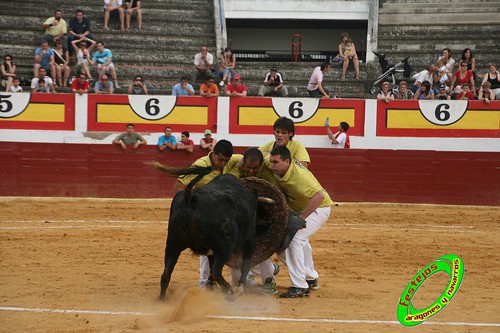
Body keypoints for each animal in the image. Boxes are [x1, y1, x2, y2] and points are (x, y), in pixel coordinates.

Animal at [145, 162, 306, 300]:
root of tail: (191, 199)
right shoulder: (249, 240)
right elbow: (245, 263)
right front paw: (240, 287)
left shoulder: (210, 249)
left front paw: (211, 285)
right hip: (224, 247)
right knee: (216, 271)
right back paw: (230, 290)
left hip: (173, 244)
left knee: (166, 274)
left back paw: (163, 299)